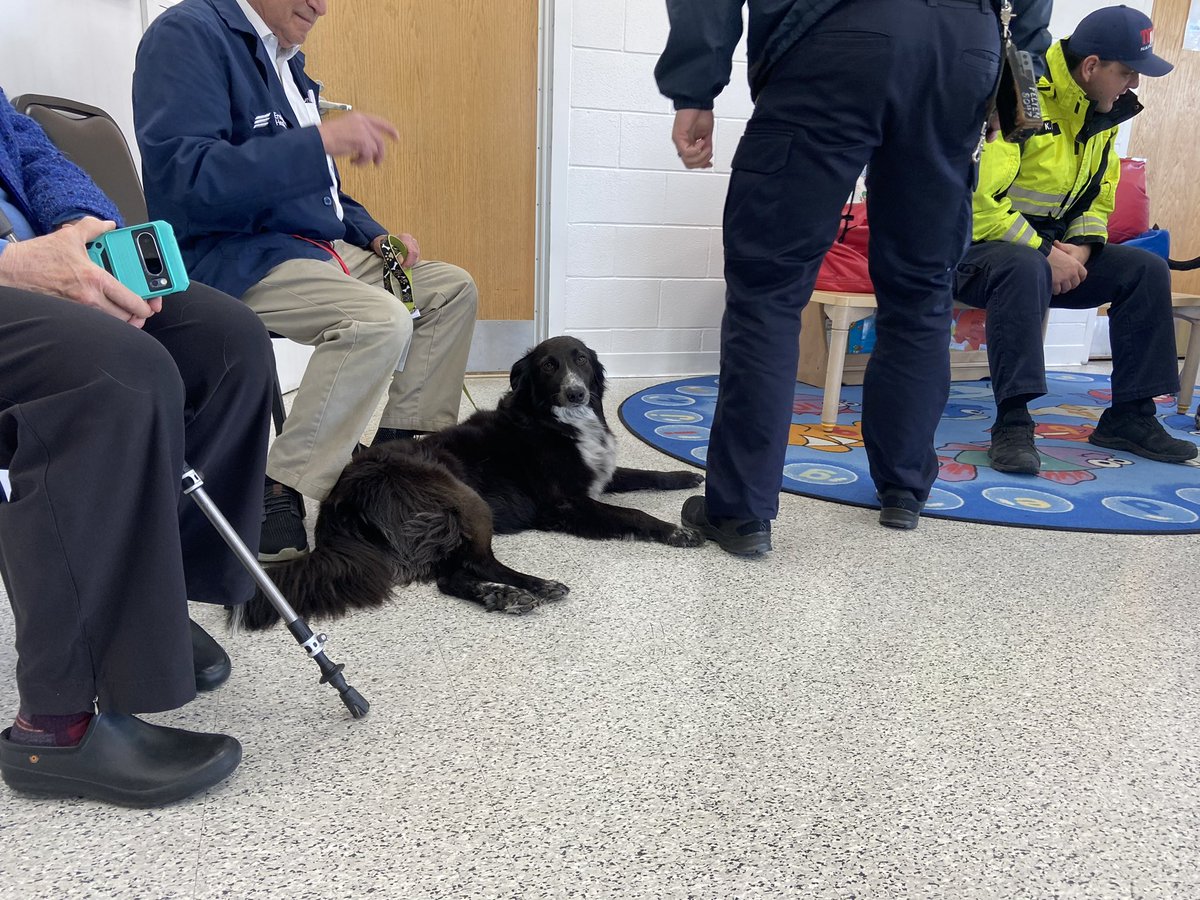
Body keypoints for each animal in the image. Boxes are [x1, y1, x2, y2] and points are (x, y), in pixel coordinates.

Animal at [236, 336, 700, 628]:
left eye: (581, 360)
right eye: (549, 366)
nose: (576, 393)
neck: (552, 419)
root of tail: (341, 499)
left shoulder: (597, 476)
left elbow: (647, 475)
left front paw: (688, 476)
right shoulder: (565, 504)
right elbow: (632, 513)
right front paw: (676, 531)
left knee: (450, 578)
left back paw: (501, 597)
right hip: (465, 501)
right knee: (477, 564)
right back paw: (534, 587)